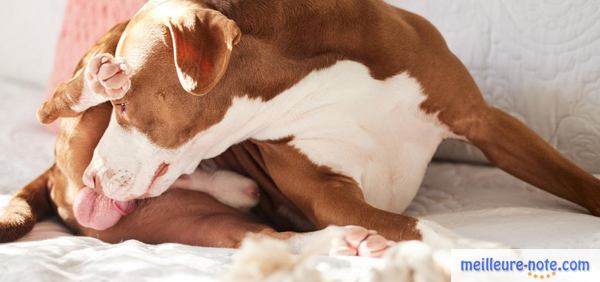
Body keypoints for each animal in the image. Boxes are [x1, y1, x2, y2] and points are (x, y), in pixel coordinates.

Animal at [35, 0, 596, 247]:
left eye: (126, 110)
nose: (96, 178)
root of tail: (58, 179)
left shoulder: (487, 123)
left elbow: (576, 179)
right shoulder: (331, 195)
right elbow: (414, 225)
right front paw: (473, 248)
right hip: (179, 218)